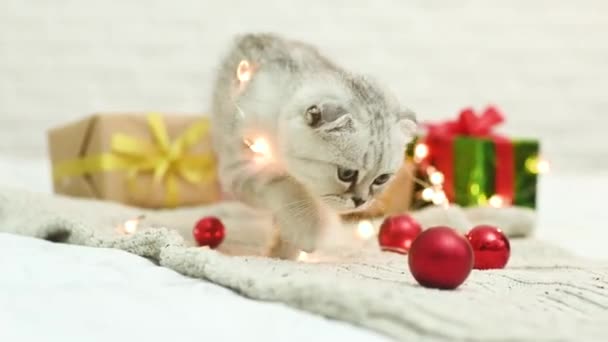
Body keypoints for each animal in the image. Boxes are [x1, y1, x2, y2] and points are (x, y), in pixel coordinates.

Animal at [211, 34, 416, 260]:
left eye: (381, 179)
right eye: (346, 174)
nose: (361, 201)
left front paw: (284, 253)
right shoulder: (241, 166)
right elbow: (286, 185)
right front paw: (306, 232)